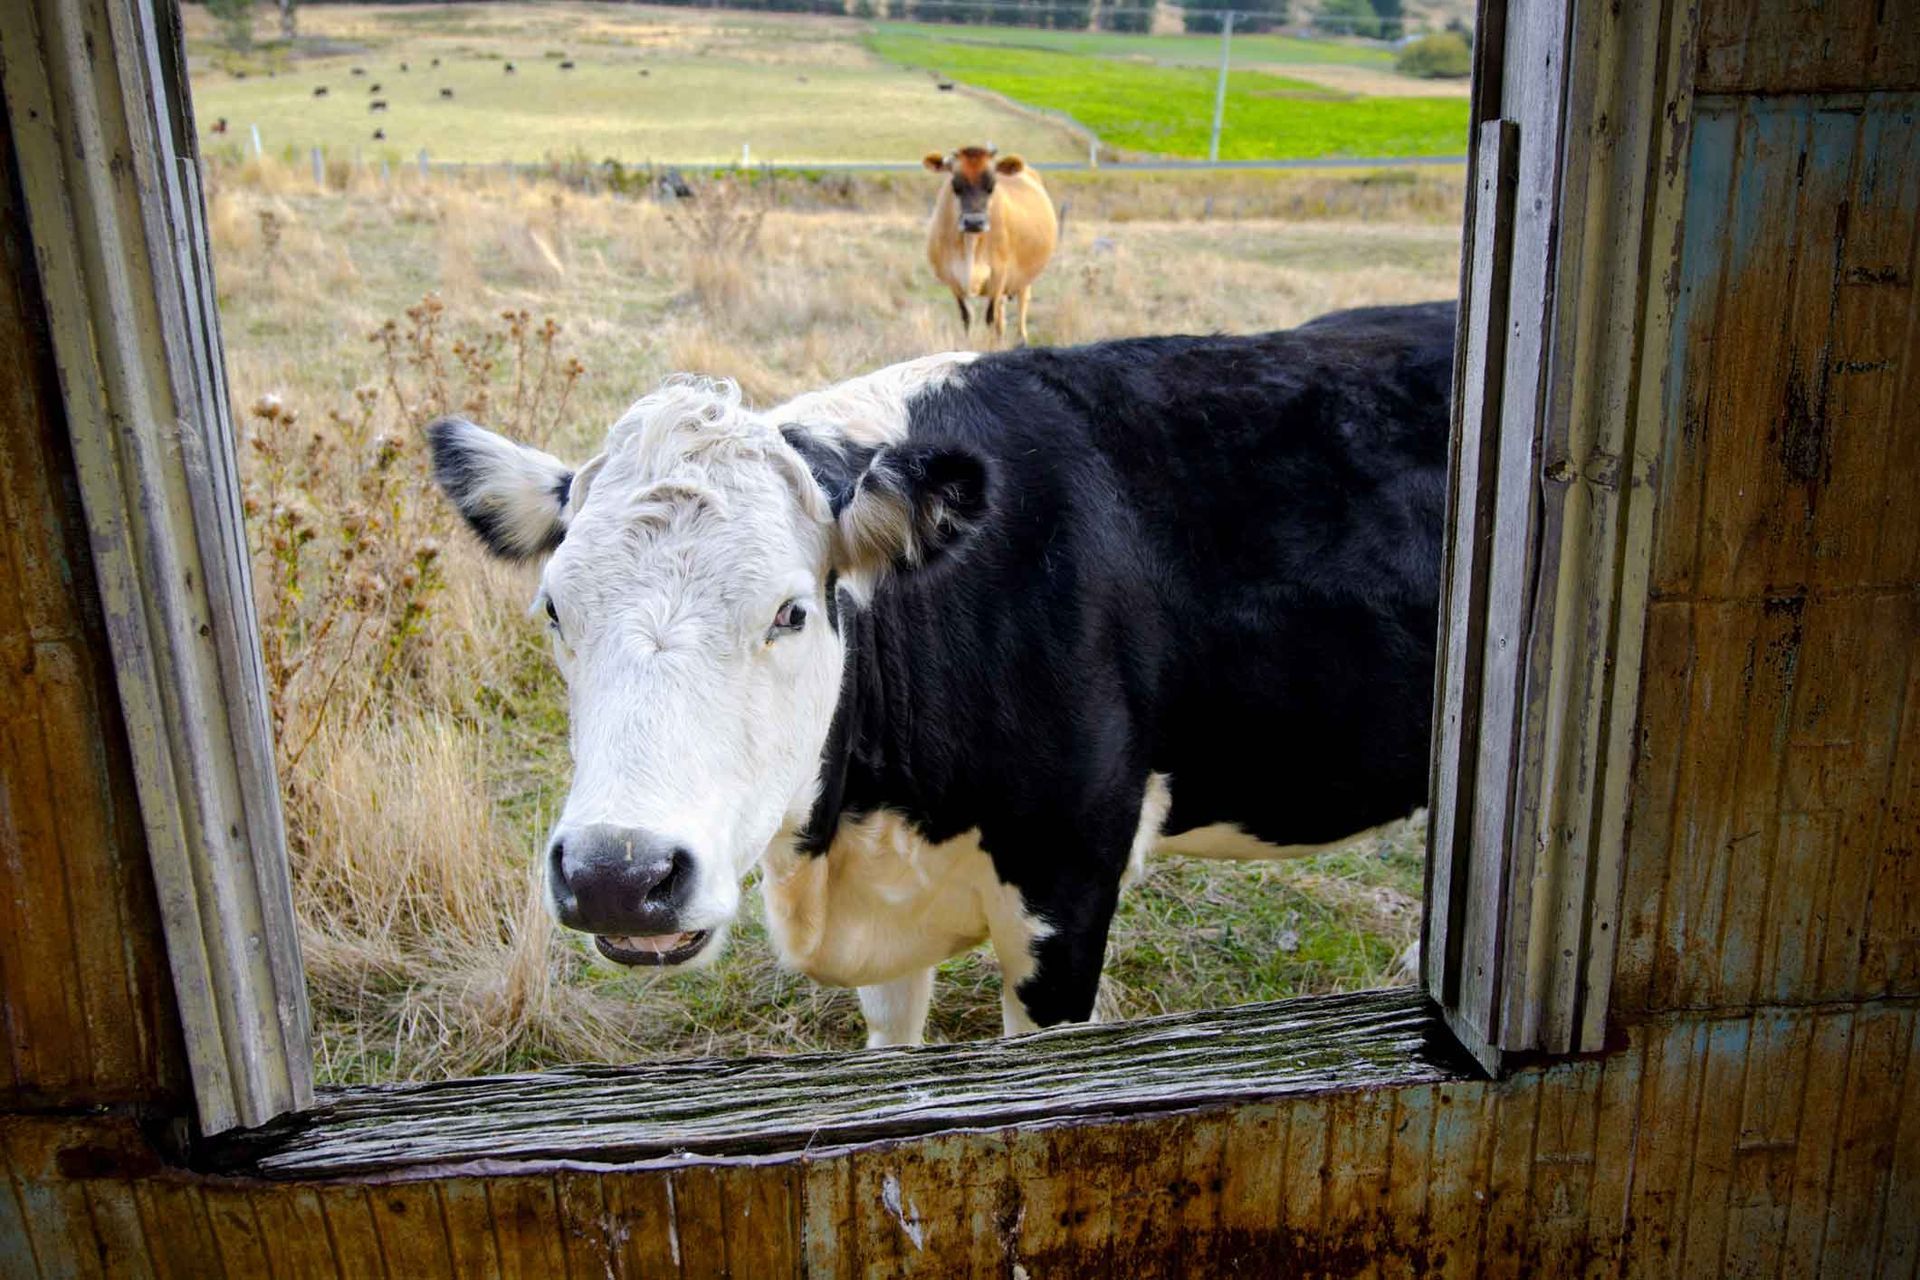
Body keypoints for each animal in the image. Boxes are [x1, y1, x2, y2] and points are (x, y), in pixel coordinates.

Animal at [923, 145, 1057, 345]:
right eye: (955, 185)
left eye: (991, 186)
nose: (974, 222)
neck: (970, 244)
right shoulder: (953, 280)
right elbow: (967, 318)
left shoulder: (999, 275)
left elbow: (990, 320)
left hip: (1024, 279)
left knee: (1021, 311)